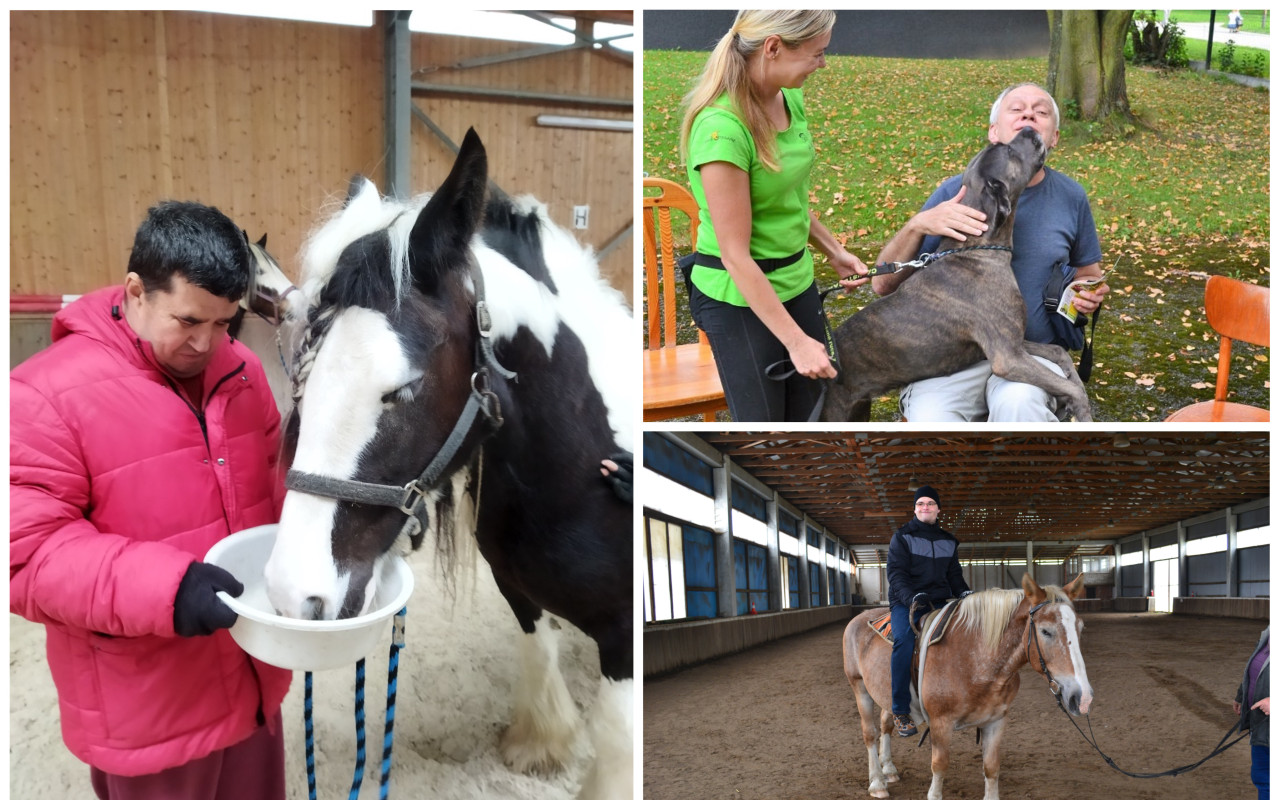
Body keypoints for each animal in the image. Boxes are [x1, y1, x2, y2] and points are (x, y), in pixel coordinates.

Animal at [264, 128, 634, 793]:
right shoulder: (517, 590)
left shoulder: (625, 637)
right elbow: (537, 649)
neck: (588, 472)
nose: (291, 593)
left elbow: (618, 740)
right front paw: (542, 745)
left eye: (404, 389)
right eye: (303, 371)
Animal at [839, 573, 1090, 798]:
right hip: (859, 687)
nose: (1083, 697)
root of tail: (860, 617)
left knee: (886, 724)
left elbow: (991, 767)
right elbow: (939, 767)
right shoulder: (940, 723)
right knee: (870, 734)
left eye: (1080, 627)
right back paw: (877, 783)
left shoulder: (996, 721)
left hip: (886, 693)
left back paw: (889, 769)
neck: (973, 658)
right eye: (1046, 631)